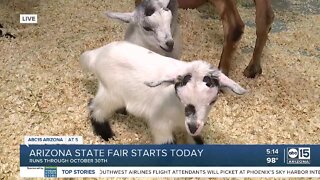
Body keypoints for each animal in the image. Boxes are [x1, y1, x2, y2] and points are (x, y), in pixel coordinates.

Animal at [80, 40, 248, 143]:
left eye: (212, 101)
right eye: (181, 97)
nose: (193, 126)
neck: (179, 112)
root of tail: (97, 54)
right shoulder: (159, 123)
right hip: (111, 93)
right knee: (95, 107)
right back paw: (107, 135)